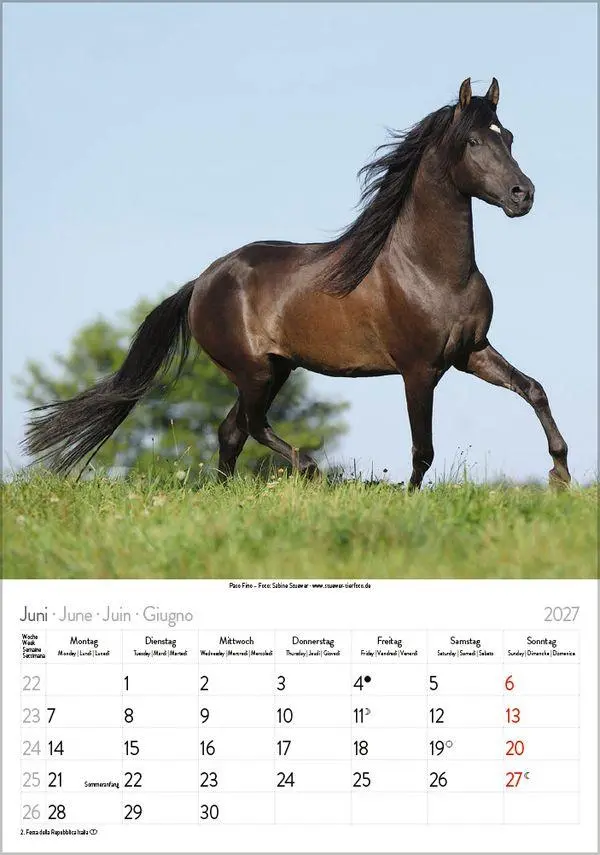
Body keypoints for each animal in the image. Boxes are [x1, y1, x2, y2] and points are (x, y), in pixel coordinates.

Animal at [24, 77, 570, 489]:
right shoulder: (419, 369)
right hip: (254, 371)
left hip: (276, 369)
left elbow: (534, 390)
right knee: (250, 425)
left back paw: (228, 492)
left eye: (510, 136)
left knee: (231, 431)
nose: (523, 194)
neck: (432, 272)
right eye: (474, 141)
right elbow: (423, 450)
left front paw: (560, 473)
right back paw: (309, 469)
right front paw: (408, 497)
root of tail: (201, 282)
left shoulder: (471, 352)